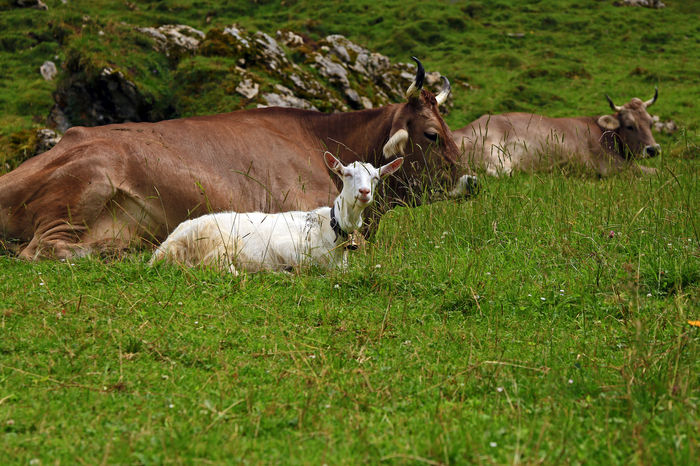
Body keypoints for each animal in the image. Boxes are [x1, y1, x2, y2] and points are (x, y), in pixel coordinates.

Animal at [152, 151, 404, 274]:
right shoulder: (286, 247)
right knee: (221, 270)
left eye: (376, 177)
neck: (330, 227)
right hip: (217, 247)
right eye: (347, 174)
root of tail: (165, 249)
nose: (364, 192)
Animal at [454, 88, 660, 177]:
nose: (653, 149)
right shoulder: (610, 165)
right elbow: (655, 171)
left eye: (650, 123)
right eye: (630, 125)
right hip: (494, 152)